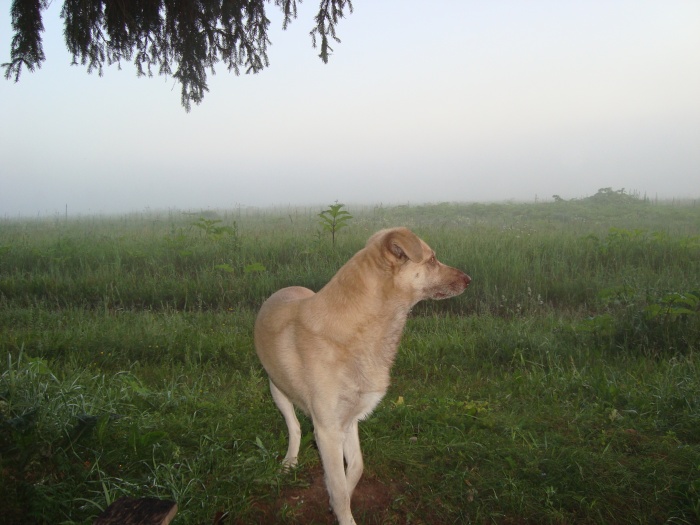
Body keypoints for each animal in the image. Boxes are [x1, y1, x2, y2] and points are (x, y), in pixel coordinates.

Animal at [253, 227, 470, 520]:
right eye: (433, 260)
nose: (469, 280)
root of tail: (281, 291)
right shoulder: (328, 430)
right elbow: (340, 488)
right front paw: (341, 511)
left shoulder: (350, 420)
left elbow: (355, 468)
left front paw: (334, 500)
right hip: (277, 388)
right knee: (294, 426)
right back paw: (290, 461)